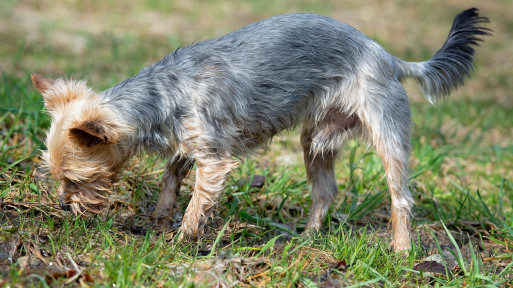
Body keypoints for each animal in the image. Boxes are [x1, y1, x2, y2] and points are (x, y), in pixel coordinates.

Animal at [31, 8, 488, 252]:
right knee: (326, 190)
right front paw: (161, 217)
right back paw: (307, 237)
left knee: (401, 198)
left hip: (386, 131)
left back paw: (401, 249)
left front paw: (181, 238)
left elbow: (197, 202)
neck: (160, 94)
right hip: (316, 138)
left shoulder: (213, 159)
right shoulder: (188, 143)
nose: (63, 207)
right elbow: (170, 175)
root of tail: (389, 57)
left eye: (75, 180)